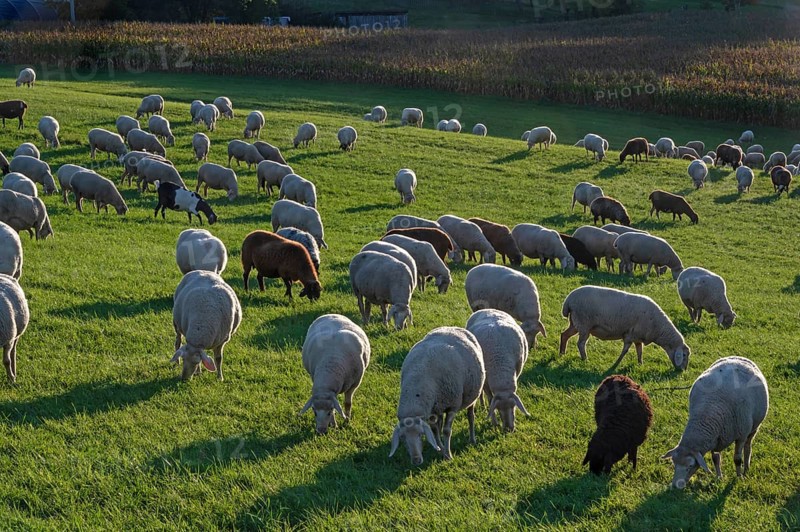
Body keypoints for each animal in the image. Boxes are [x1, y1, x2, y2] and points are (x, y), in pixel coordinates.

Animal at [389, 327, 484, 464]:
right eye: (403, 438)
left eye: (420, 434)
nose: (416, 460)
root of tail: (452, 327)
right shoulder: (432, 410)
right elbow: (434, 430)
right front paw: (441, 449)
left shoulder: (452, 405)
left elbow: (446, 431)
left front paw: (448, 455)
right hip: (439, 403)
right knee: (439, 422)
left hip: (471, 396)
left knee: (470, 416)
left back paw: (472, 439)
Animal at [560, 285, 690, 370]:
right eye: (684, 355)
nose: (683, 371)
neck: (659, 329)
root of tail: (568, 301)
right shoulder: (630, 335)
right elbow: (625, 351)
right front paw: (616, 364)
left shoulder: (638, 337)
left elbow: (640, 351)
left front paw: (640, 364)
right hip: (584, 324)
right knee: (581, 344)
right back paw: (585, 359)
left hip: (575, 323)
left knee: (564, 335)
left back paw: (562, 353)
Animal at [662, 357, 768, 489]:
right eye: (673, 462)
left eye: (690, 466)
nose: (676, 485)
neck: (707, 413)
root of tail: (738, 358)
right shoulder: (715, 438)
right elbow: (715, 459)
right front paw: (719, 477)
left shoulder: (741, 435)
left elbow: (737, 459)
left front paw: (739, 478)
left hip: (754, 427)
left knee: (748, 445)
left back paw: (746, 468)